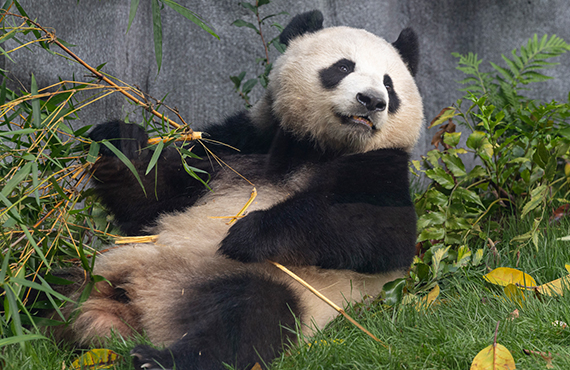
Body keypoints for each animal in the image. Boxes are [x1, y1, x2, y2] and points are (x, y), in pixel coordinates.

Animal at [64, 8, 424, 370]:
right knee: (53, 284)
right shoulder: (239, 144)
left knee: (248, 316)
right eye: (343, 67)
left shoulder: (382, 169)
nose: (372, 101)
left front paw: (247, 233)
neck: (318, 148)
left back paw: (157, 359)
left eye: (389, 84)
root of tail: (138, 310)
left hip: (269, 285)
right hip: (100, 266)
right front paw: (118, 142)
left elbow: (383, 231)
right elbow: (152, 197)